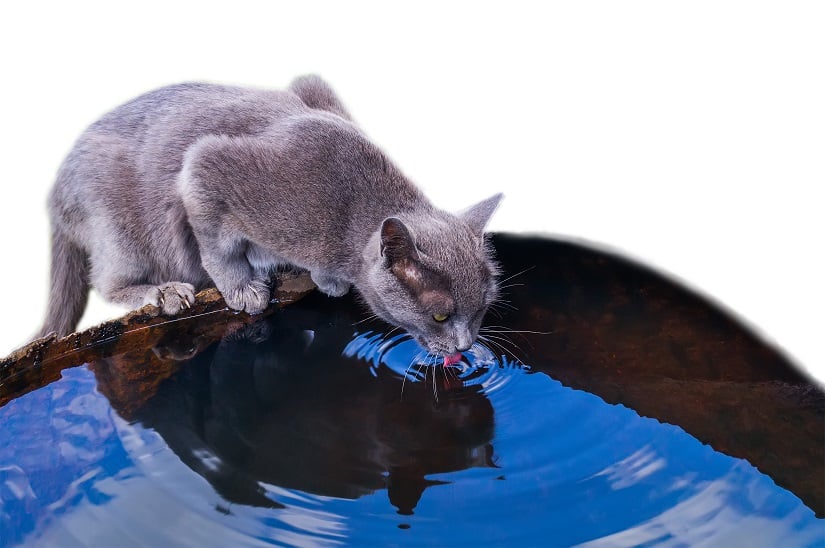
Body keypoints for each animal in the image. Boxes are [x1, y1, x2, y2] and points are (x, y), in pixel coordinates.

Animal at [40, 77, 502, 358]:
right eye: (440, 316)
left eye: (481, 309)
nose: (465, 347)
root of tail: (55, 194)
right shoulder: (210, 166)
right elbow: (217, 245)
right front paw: (244, 289)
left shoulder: (311, 87)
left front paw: (325, 279)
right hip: (117, 225)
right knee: (108, 280)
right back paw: (165, 292)